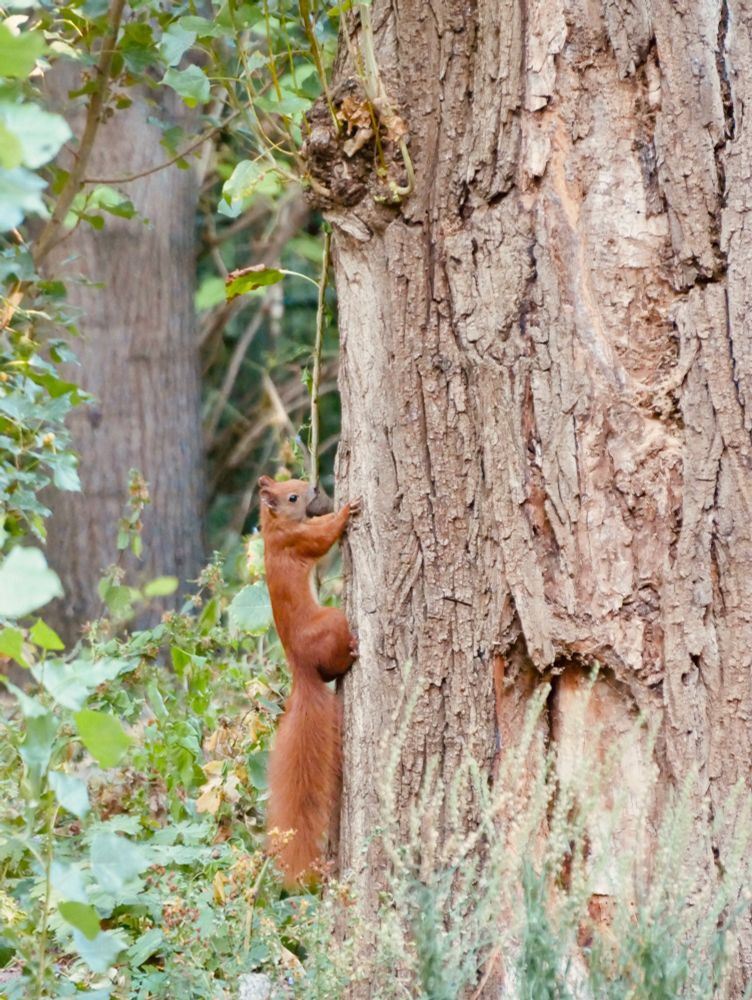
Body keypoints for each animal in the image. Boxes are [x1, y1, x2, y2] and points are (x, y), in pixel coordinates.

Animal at [257, 475, 360, 886]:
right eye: (292, 497)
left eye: (297, 484)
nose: (316, 487)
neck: (274, 530)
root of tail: (300, 667)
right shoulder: (298, 541)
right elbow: (323, 539)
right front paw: (346, 511)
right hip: (331, 622)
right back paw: (353, 651)